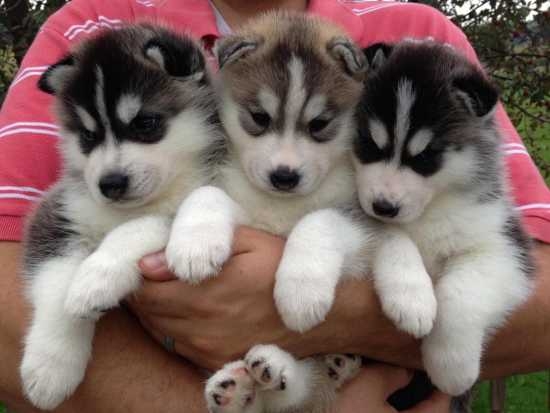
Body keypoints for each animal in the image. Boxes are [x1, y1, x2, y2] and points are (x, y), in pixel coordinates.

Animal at [20, 24, 222, 408]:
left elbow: (136, 228)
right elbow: (55, 285)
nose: (110, 183)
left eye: (145, 123)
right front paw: (51, 367)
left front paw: (96, 278)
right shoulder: (57, 214)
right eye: (88, 136)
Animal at [166, 11, 374, 412]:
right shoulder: (236, 195)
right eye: (259, 117)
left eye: (319, 124)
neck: (280, 206)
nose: (284, 176)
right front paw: (195, 247)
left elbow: (318, 219)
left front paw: (301, 290)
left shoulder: (358, 218)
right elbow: (207, 194)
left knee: (301, 389)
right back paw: (235, 388)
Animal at [354, 41, 536, 396]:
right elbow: (393, 238)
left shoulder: (504, 248)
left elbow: (460, 294)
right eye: (369, 144)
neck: (429, 210)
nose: (383, 206)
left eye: (426, 156)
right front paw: (412, 298)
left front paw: (453, 367)